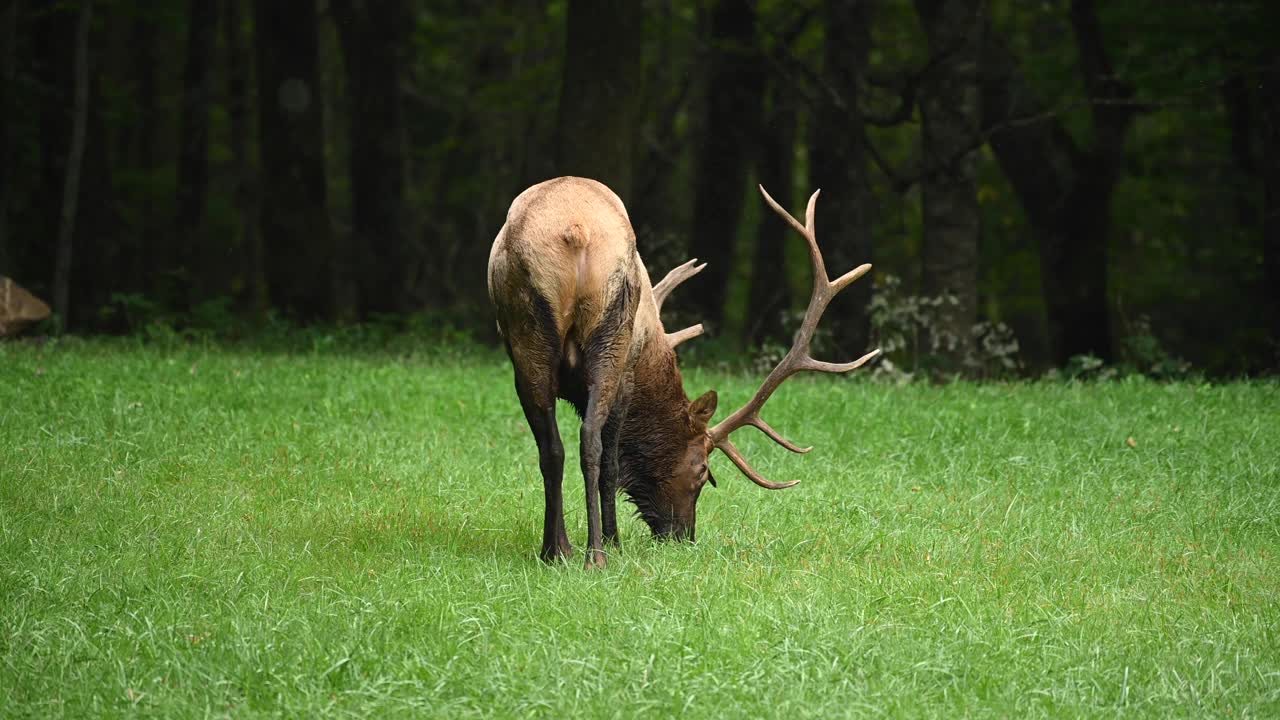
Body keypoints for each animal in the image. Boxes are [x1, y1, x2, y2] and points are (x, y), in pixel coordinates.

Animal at [483, 175, 875, 566]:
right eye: (703, 472)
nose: (683, 536)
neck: (652, 346)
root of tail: (575, 231)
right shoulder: (628, 374)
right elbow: (611, 462)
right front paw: (614, 541)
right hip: (611, 334)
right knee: (590, 440)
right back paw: (597, 554)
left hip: (526, 339)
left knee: (551, 449)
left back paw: (555, 550)